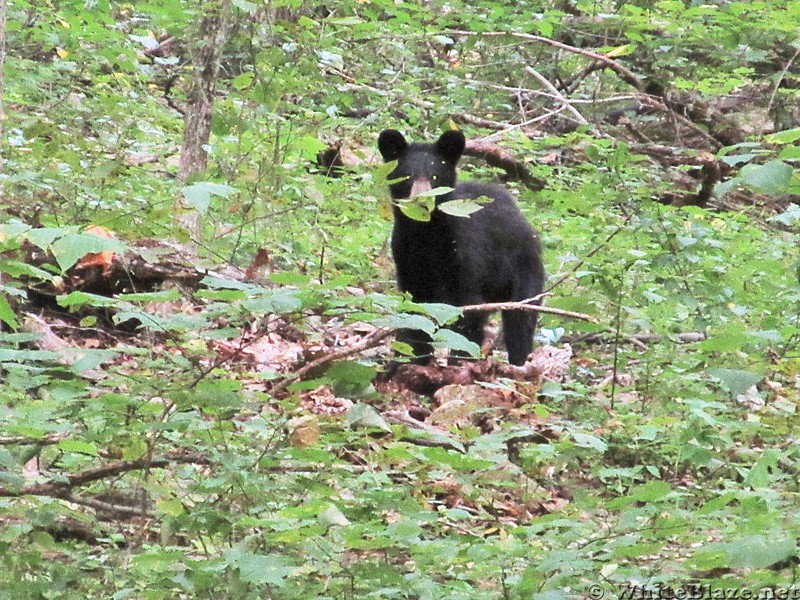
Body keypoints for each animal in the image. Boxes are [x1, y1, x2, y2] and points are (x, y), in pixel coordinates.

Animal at [380, 129, 544, 366]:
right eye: (407, 176)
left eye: (435, 176)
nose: (422, 202)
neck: (425, 235)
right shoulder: (407, 259)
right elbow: (415, 315)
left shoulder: (464, 257)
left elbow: (468, 315)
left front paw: (459, 364)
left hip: (523, 269)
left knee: (520, 321)